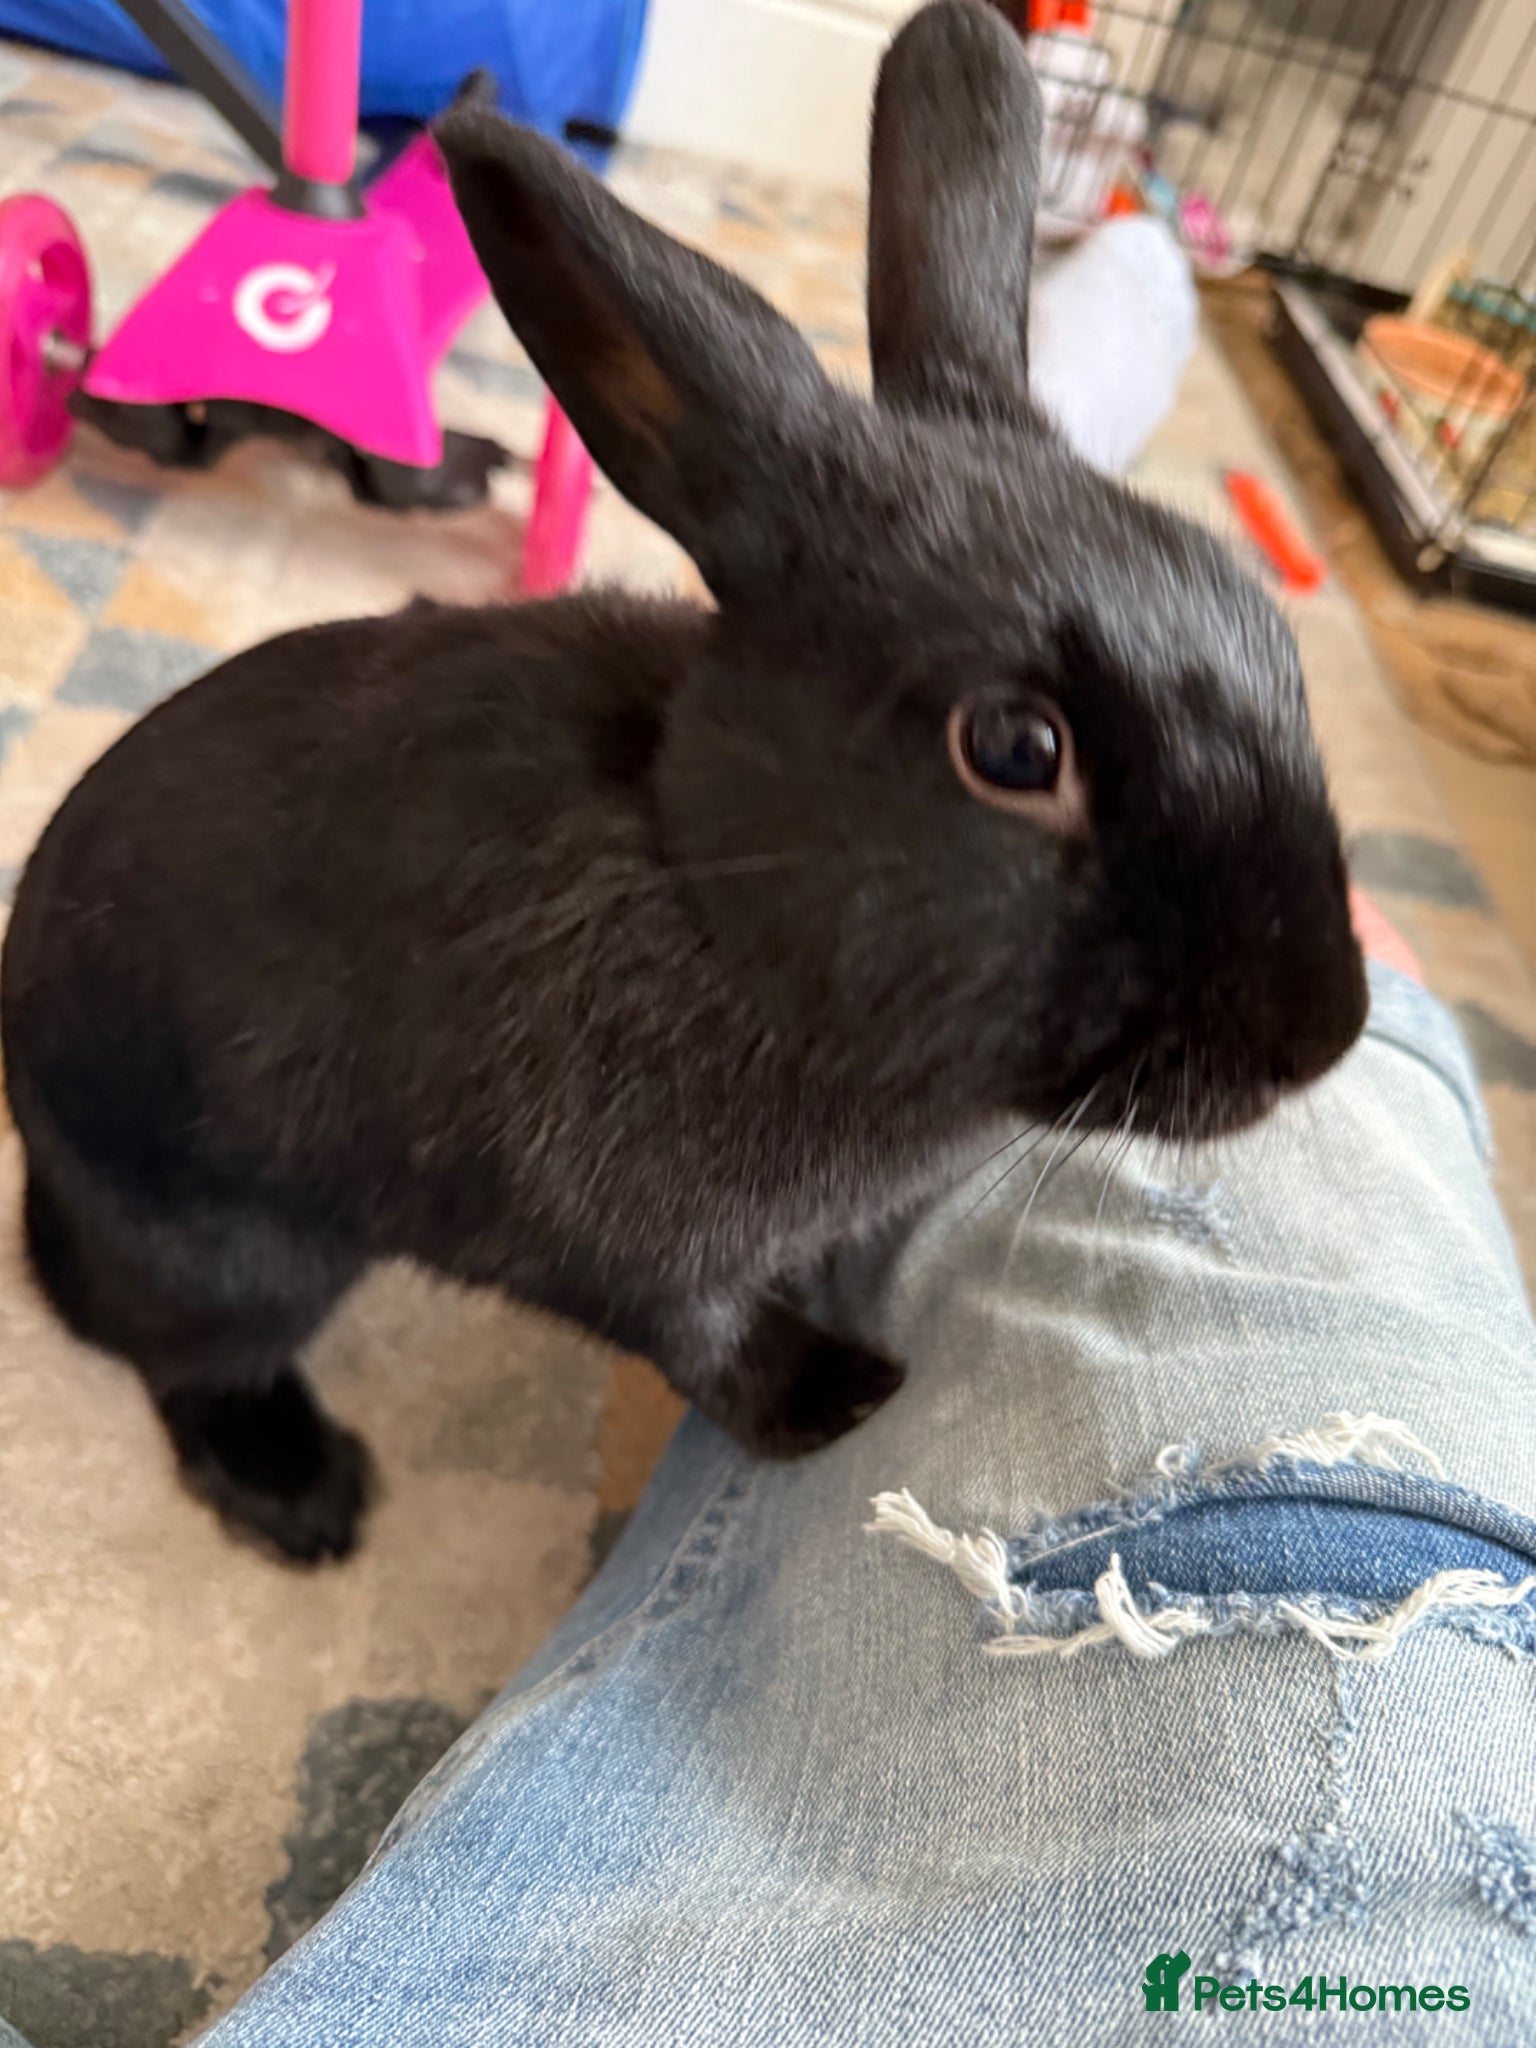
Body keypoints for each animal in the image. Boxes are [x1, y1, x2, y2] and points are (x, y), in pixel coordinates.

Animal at [0, 0, 1366, 1564]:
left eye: (1265, 622)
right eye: (1018, 750)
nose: (1325, 1029)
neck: (714, 886)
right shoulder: (621, 1240)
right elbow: (705, 1339)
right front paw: (841, 1396)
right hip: (234, 1242)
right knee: (188, 1357)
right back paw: (304, 1495)